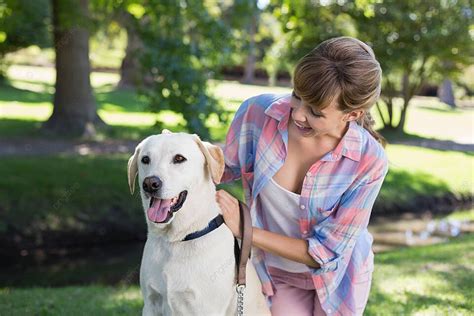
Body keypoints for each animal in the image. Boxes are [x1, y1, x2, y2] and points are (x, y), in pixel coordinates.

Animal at [128, 129, 268, 316]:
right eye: (145, 159)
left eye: (179, 158)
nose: (150, 184)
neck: (178, 239)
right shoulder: (151, 304)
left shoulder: (205, 308)